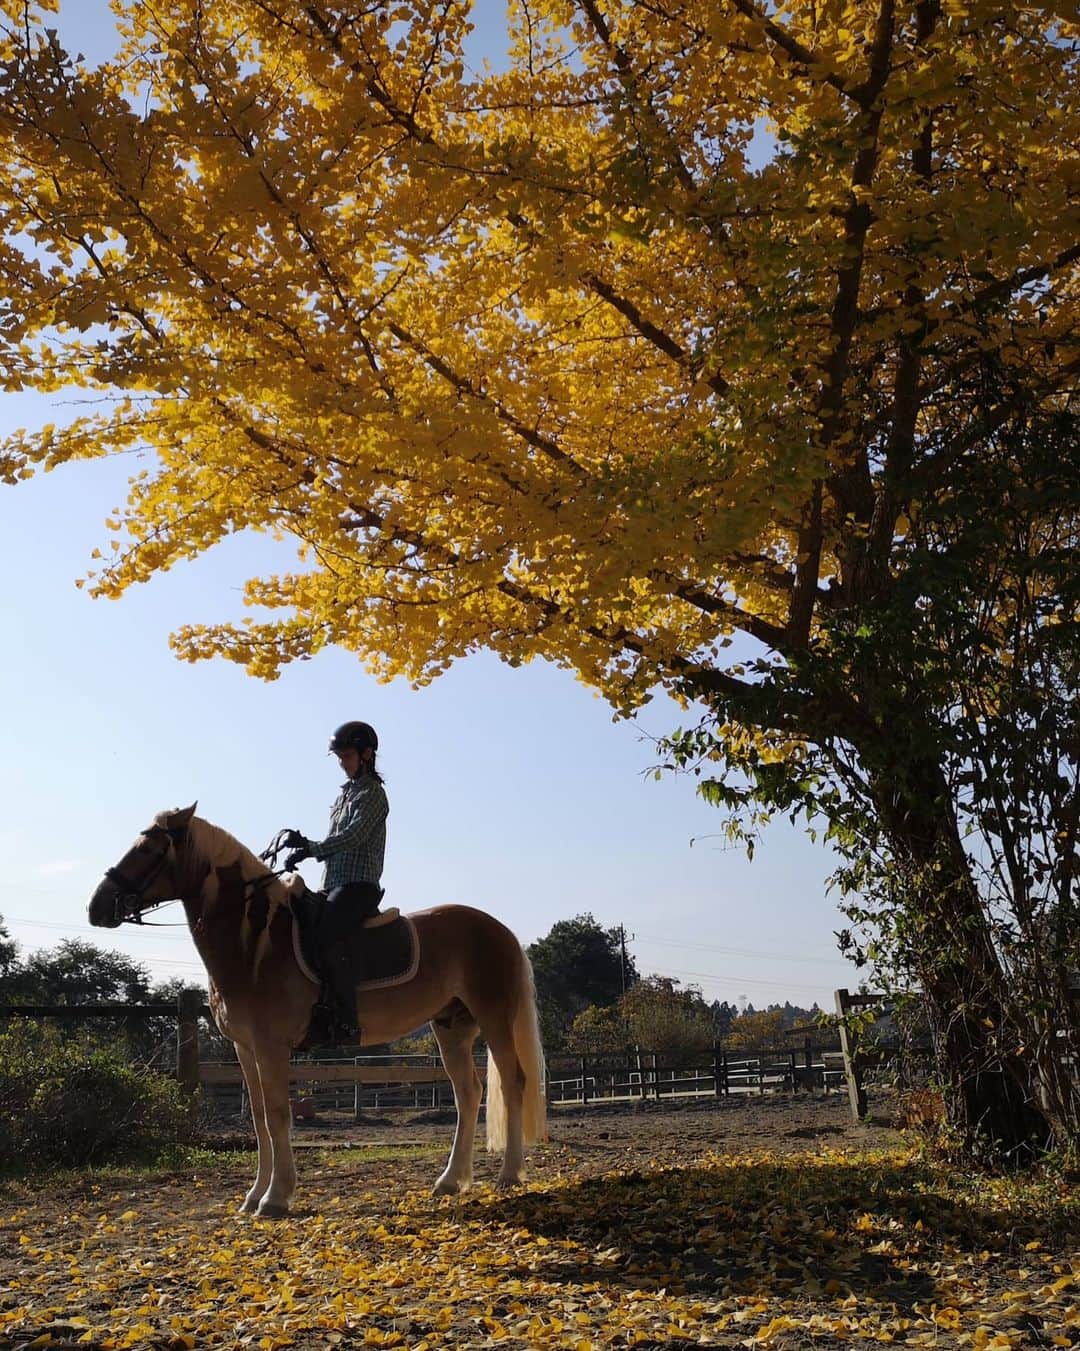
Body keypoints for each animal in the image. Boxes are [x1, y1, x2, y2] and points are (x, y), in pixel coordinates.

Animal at [87, 803, 546, 1217]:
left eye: (150, 849)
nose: (97, 907)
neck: (254, 943)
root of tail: (499, 930)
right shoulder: (245, 1049)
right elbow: (258, 1119)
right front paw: (253, 1196)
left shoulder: (271, 1047)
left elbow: (277, 1116)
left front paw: (275, 1199)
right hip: (452, 1026)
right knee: (468, 1093)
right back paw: (450, 1181)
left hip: (493, 1019)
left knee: (513, 1082)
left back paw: (509, 1175)